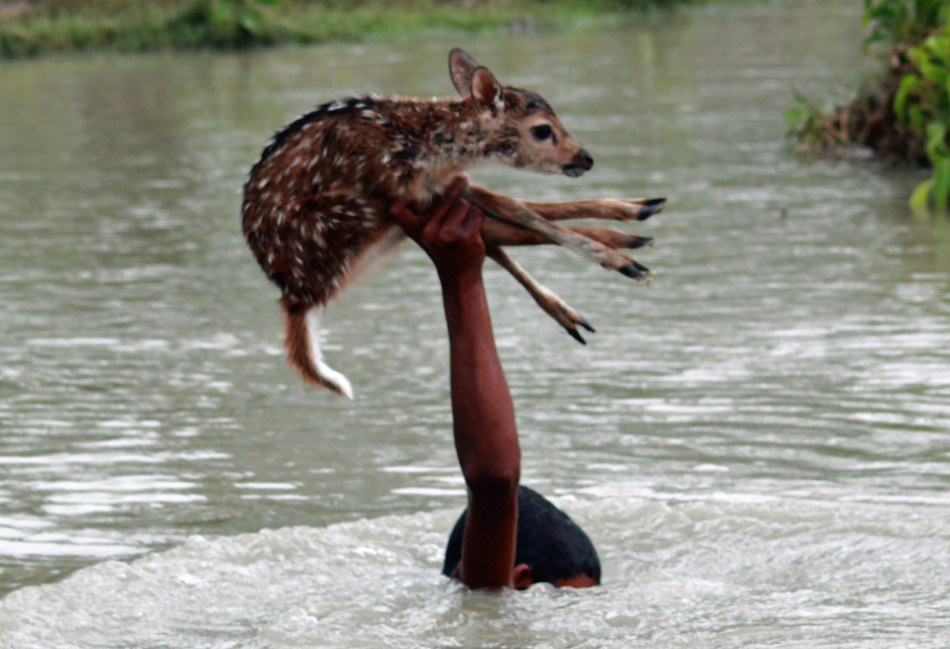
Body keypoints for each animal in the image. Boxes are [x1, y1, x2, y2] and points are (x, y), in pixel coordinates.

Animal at [242, 48, 664, 398]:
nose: (585, 158)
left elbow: (515, 207)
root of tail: (294, 296)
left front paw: (629, 219)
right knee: (499, 230)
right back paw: (621, 257)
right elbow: (519, 213)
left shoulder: (440, 186)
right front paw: (620, 256)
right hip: (350, 221)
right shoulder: (405, 191)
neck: (426, 148)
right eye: (543, 129)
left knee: (498, 229)